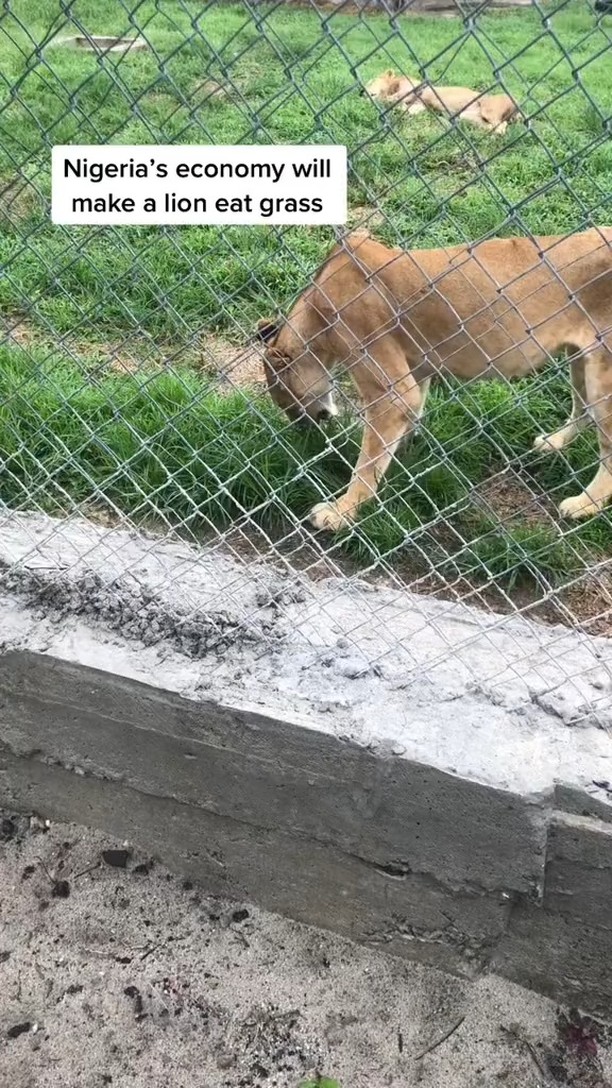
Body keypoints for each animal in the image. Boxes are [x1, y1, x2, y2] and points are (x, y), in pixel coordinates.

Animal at [253, 227, 609, 533]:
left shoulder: (391, 388)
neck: (314, 318)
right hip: (579, 359)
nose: (303, 428)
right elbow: (407, 420)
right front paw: (405, 448)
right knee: (582, 410)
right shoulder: (416, 369)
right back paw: (553, 443)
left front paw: (340, 513)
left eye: (286, 401)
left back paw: (584, 505)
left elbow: (366, 463)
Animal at [361, 69, 518, 136]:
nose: (361, 92)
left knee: (501, 126)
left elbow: (389, 100)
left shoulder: (409, 89)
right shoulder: (418, 106)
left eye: (370, 81)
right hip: (466, 115)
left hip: (488, 109)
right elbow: (405, 109)